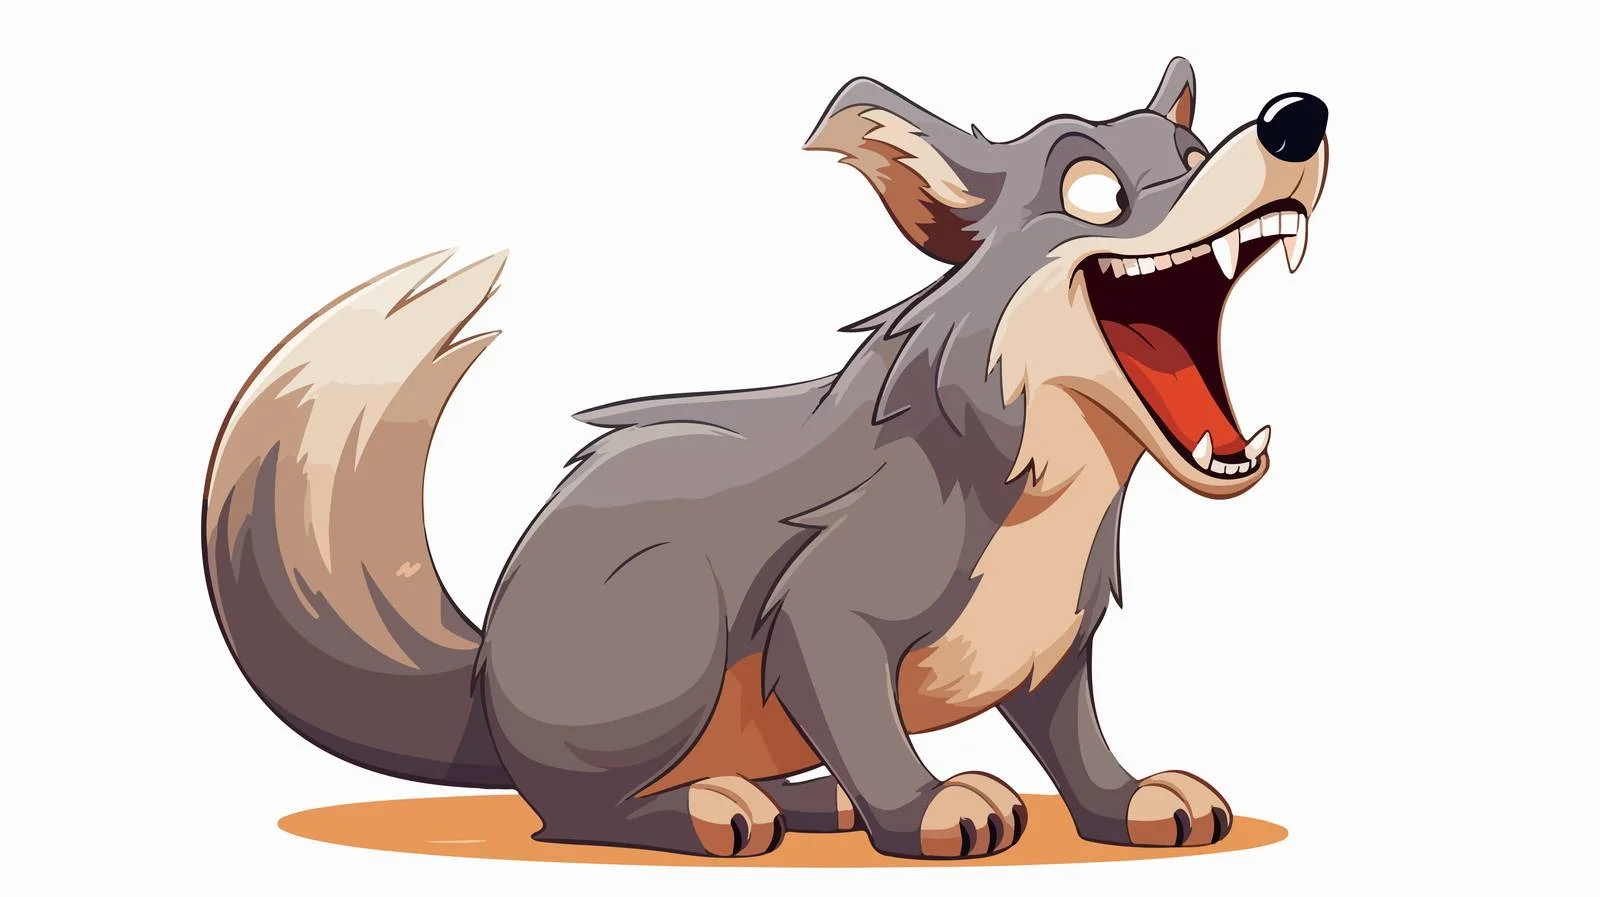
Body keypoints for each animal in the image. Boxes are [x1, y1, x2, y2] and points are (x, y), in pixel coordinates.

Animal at [203, 58, 1328, 859]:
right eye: (1091, 189)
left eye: (1190, 145)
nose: (1295, 119)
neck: (1052, 482)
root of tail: (483, 676)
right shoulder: (828, 605)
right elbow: (861, 706)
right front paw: (930, 809)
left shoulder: (1055, 639)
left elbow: (1075, 732)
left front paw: (1132, 798)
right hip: (663, 623)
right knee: (571, 808)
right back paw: (713, 808)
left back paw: (808, 797)